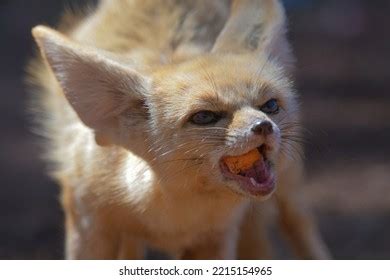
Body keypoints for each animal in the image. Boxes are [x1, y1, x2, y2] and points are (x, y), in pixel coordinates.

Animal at [29, 0, 330, 260]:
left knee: (299, 228)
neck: (168, 217)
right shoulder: (87, 222)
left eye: (269, 105)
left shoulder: (216, 238)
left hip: (289, 188)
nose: (264, 126)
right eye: (205, 116)